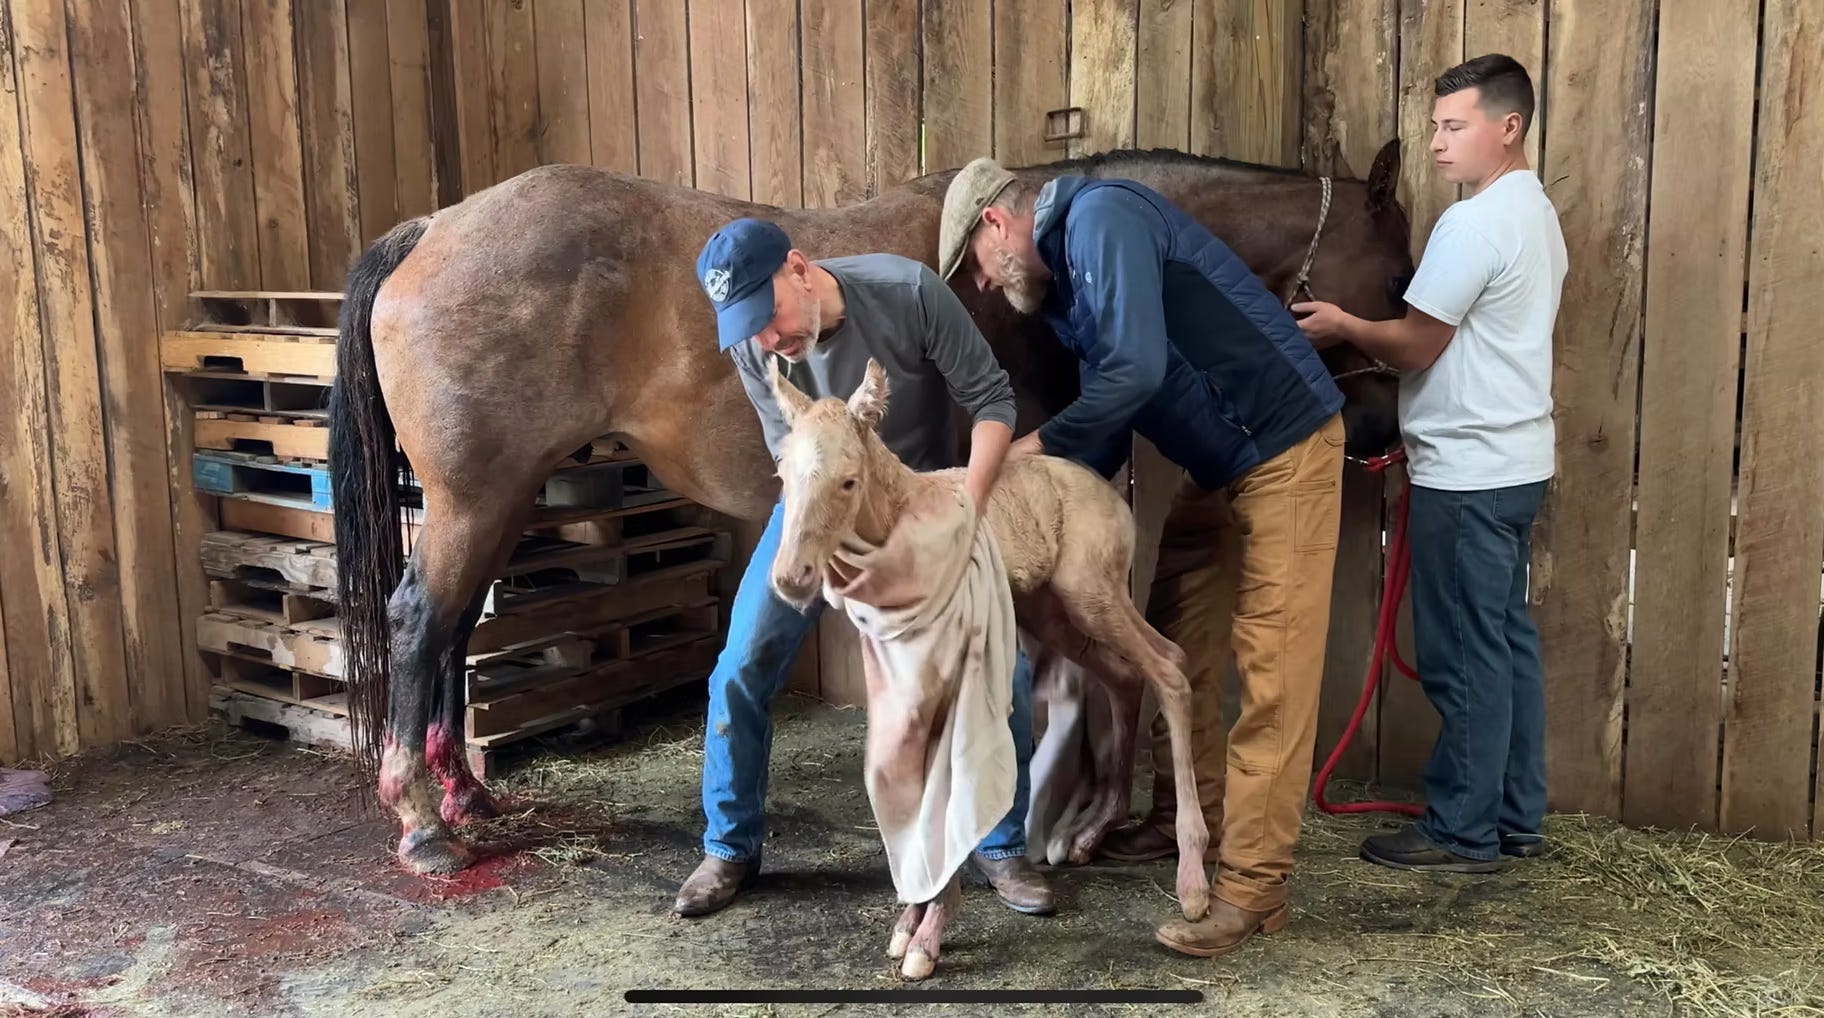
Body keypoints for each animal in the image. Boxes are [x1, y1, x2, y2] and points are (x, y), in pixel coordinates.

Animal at [327, 142, 1416, 876]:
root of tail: (432, 228)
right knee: (419, 623)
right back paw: (421, 820)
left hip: (499, 502)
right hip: (475, 500)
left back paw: (466, 793)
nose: (1379, 430)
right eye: (1400, 273)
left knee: (453, 633)